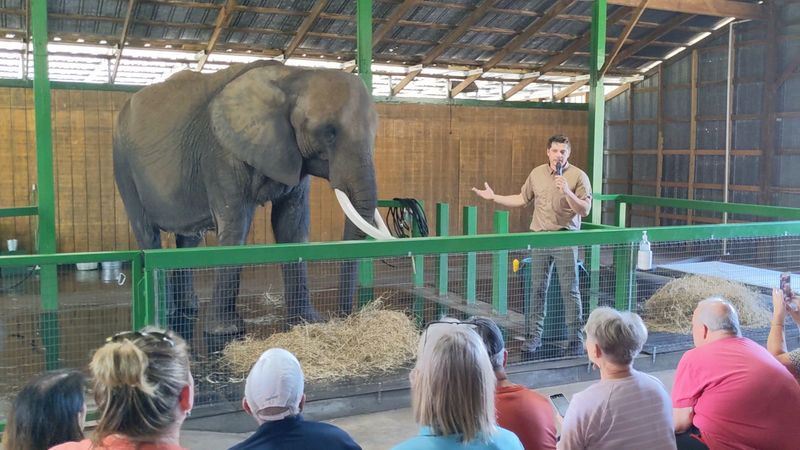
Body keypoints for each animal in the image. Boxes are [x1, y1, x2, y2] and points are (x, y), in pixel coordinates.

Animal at [113, 60, 391, 352]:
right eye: (329, 132)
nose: (347, 318)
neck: (293, 75)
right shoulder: (221, 152)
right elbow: (236, 226)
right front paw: (225, 331)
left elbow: (292, 225)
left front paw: (306, 321)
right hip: (122, 163)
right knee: (147, 233)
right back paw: (165, 314)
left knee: (189, 239)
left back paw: (189, 308)